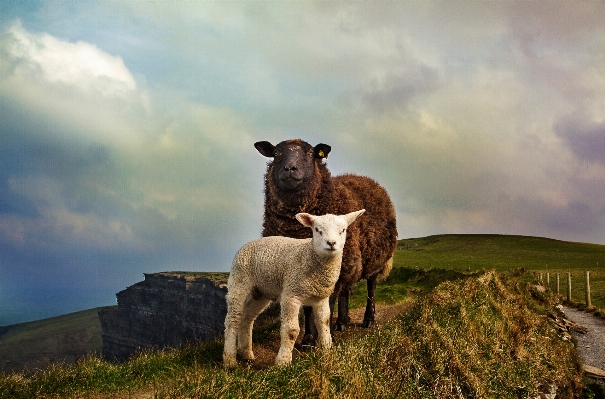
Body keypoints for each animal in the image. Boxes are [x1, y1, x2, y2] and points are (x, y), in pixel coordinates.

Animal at [222, 209, 364, 368]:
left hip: (261, 292)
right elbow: (291, 330)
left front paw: (327, 351)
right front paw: (283, 362)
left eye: (343, 230)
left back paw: (246, 354)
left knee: (247, 319)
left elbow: (324, 322)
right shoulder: (291, 295)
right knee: (233, 320)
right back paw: (230, 360)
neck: (310, 256)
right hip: (239, 282)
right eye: (317, 230)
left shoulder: (321, 298)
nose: (331, 243)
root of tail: (247, 244)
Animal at [254, 139, 396, 346]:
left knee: (371, 288)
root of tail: (368, 179)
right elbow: (308, 308)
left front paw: (321, 340)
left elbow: (324, 306)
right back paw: (342, 322)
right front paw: (308, 339)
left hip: (374, 261)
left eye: (310, 153)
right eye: (276, 154)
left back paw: (368, 319)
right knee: (346, 290)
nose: (290, 168)